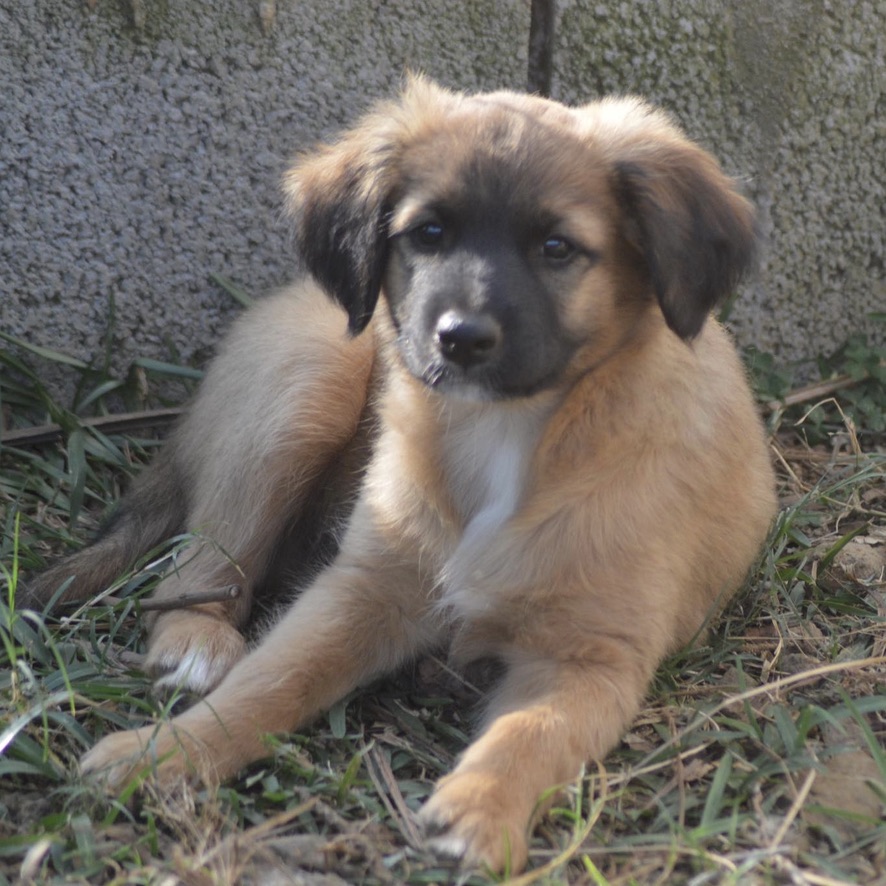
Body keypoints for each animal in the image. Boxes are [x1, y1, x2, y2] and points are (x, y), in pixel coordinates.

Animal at [26, 78, 776, 876]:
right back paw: (196, 645)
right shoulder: (365, 585)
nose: (460, 338)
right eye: (429, 233)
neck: (509, 433)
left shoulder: (594, 655)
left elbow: (534, 732)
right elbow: (271, 680)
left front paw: (480, 813)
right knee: (193, 571)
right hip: (312, 383)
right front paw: (162, 753)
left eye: (557, 248)